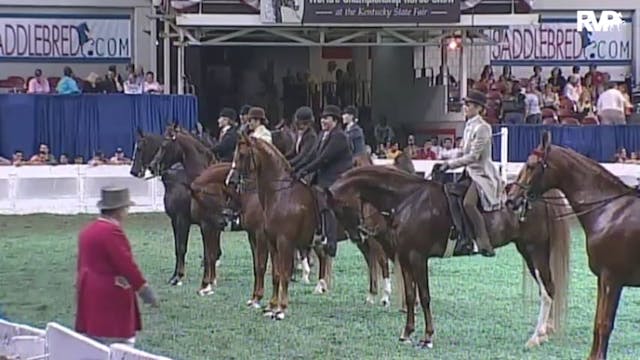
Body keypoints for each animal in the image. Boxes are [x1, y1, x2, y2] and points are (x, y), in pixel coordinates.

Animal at [129, 129, 221, 296]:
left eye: (139, 148)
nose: (134, 171)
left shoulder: (182, 220)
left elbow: (182, 247)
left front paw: (178, 277)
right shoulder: (174, 220)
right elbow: (178, 248)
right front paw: (175, 276)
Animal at [330, 165, 568, 348]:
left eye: (341, 206)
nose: (357, 235)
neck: (408, 200)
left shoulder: (418, 258)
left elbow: (425, 296)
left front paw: (427, 337)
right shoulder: (405, 259)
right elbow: (410, 296)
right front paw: (407, 333)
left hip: (535, 250)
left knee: (548, 289)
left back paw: (538, 336)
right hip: (528, 252)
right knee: (546, 289)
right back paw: (544, 332)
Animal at [504, 131, 640, 360]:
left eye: (531, 165)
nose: (511, 199)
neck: (610, 211)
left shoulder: (612, 279)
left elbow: (604, 324)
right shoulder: (603, 280)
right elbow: (597, 323)